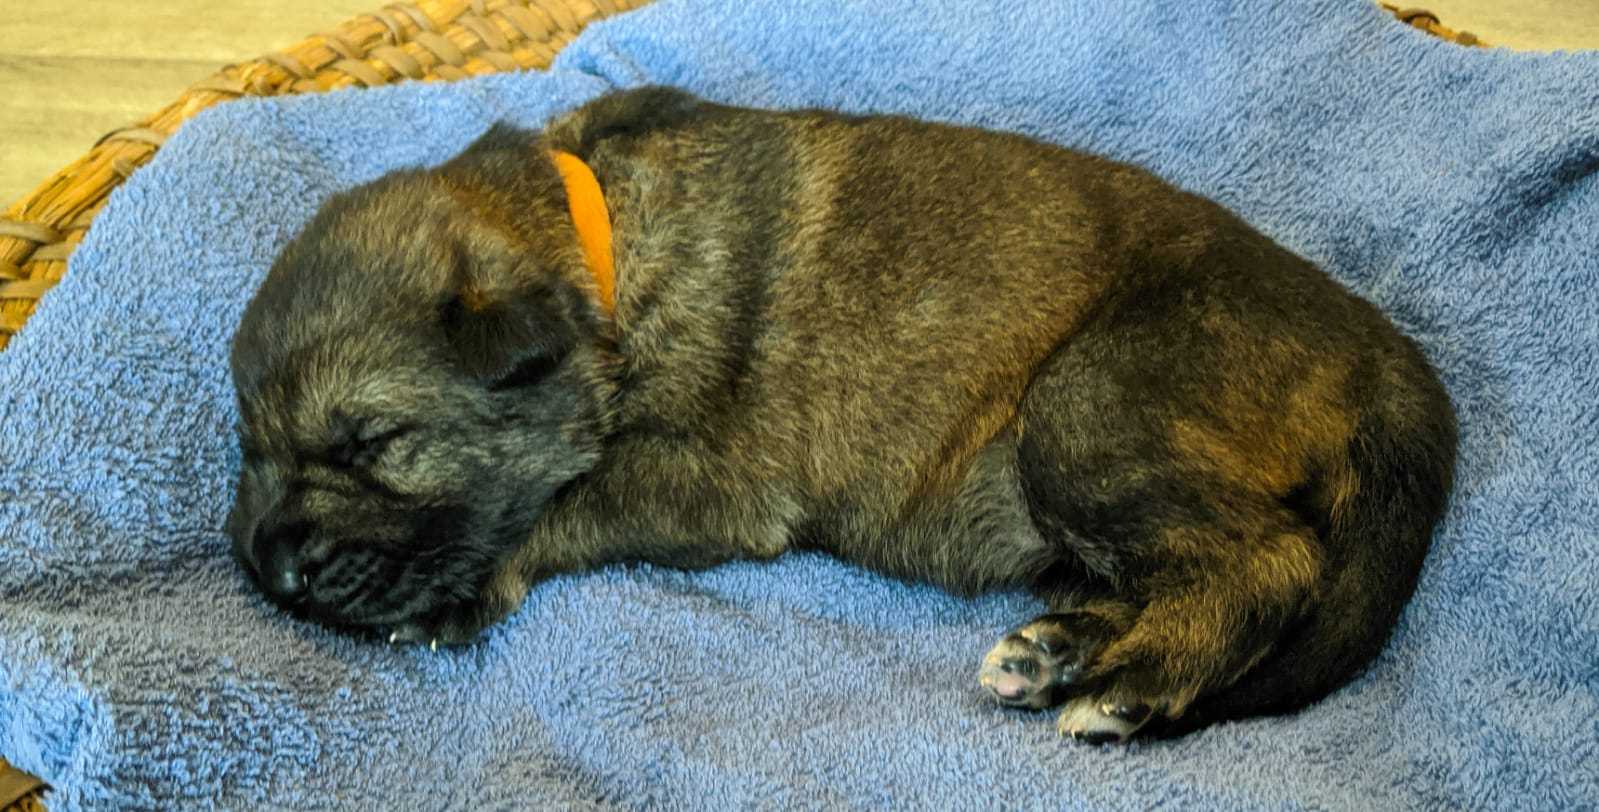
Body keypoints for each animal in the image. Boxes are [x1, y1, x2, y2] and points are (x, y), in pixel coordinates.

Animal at [225, 86, 1457, 742]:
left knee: (1270, 561)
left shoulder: (710, 481)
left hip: (1086, 409)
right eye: (248, 446)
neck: (598, 249)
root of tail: (1389, 352)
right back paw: (1057, 653)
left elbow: (564, 501)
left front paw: (461, 590)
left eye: (375, 441)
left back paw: (1131, 684)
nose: (270, 569)